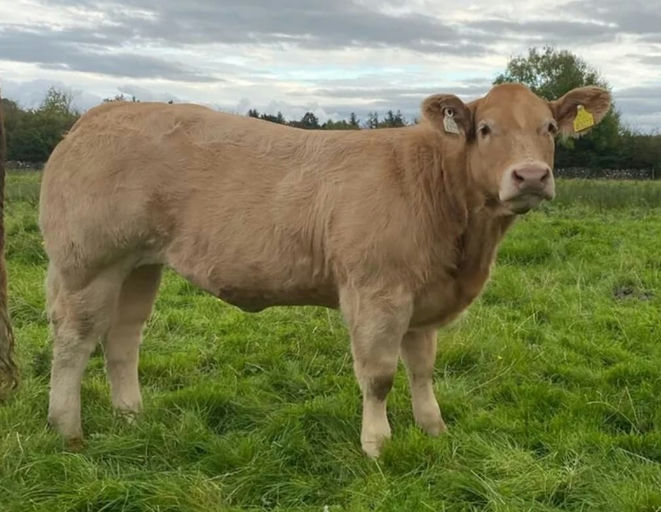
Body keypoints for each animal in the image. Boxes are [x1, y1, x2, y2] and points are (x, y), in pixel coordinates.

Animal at [0, 83, 611, 457]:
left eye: (549, 129)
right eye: (485, 129)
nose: (530, 176)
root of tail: (97, 116)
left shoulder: (424, 298)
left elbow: (422, 370)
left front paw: (433, 430)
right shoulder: (376, 291)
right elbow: (379, 375)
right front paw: (378, 445)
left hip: (139, 265)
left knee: (122, 339)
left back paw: (132, 417)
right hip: (89, 262)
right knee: (74, 340)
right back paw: (68, 430)